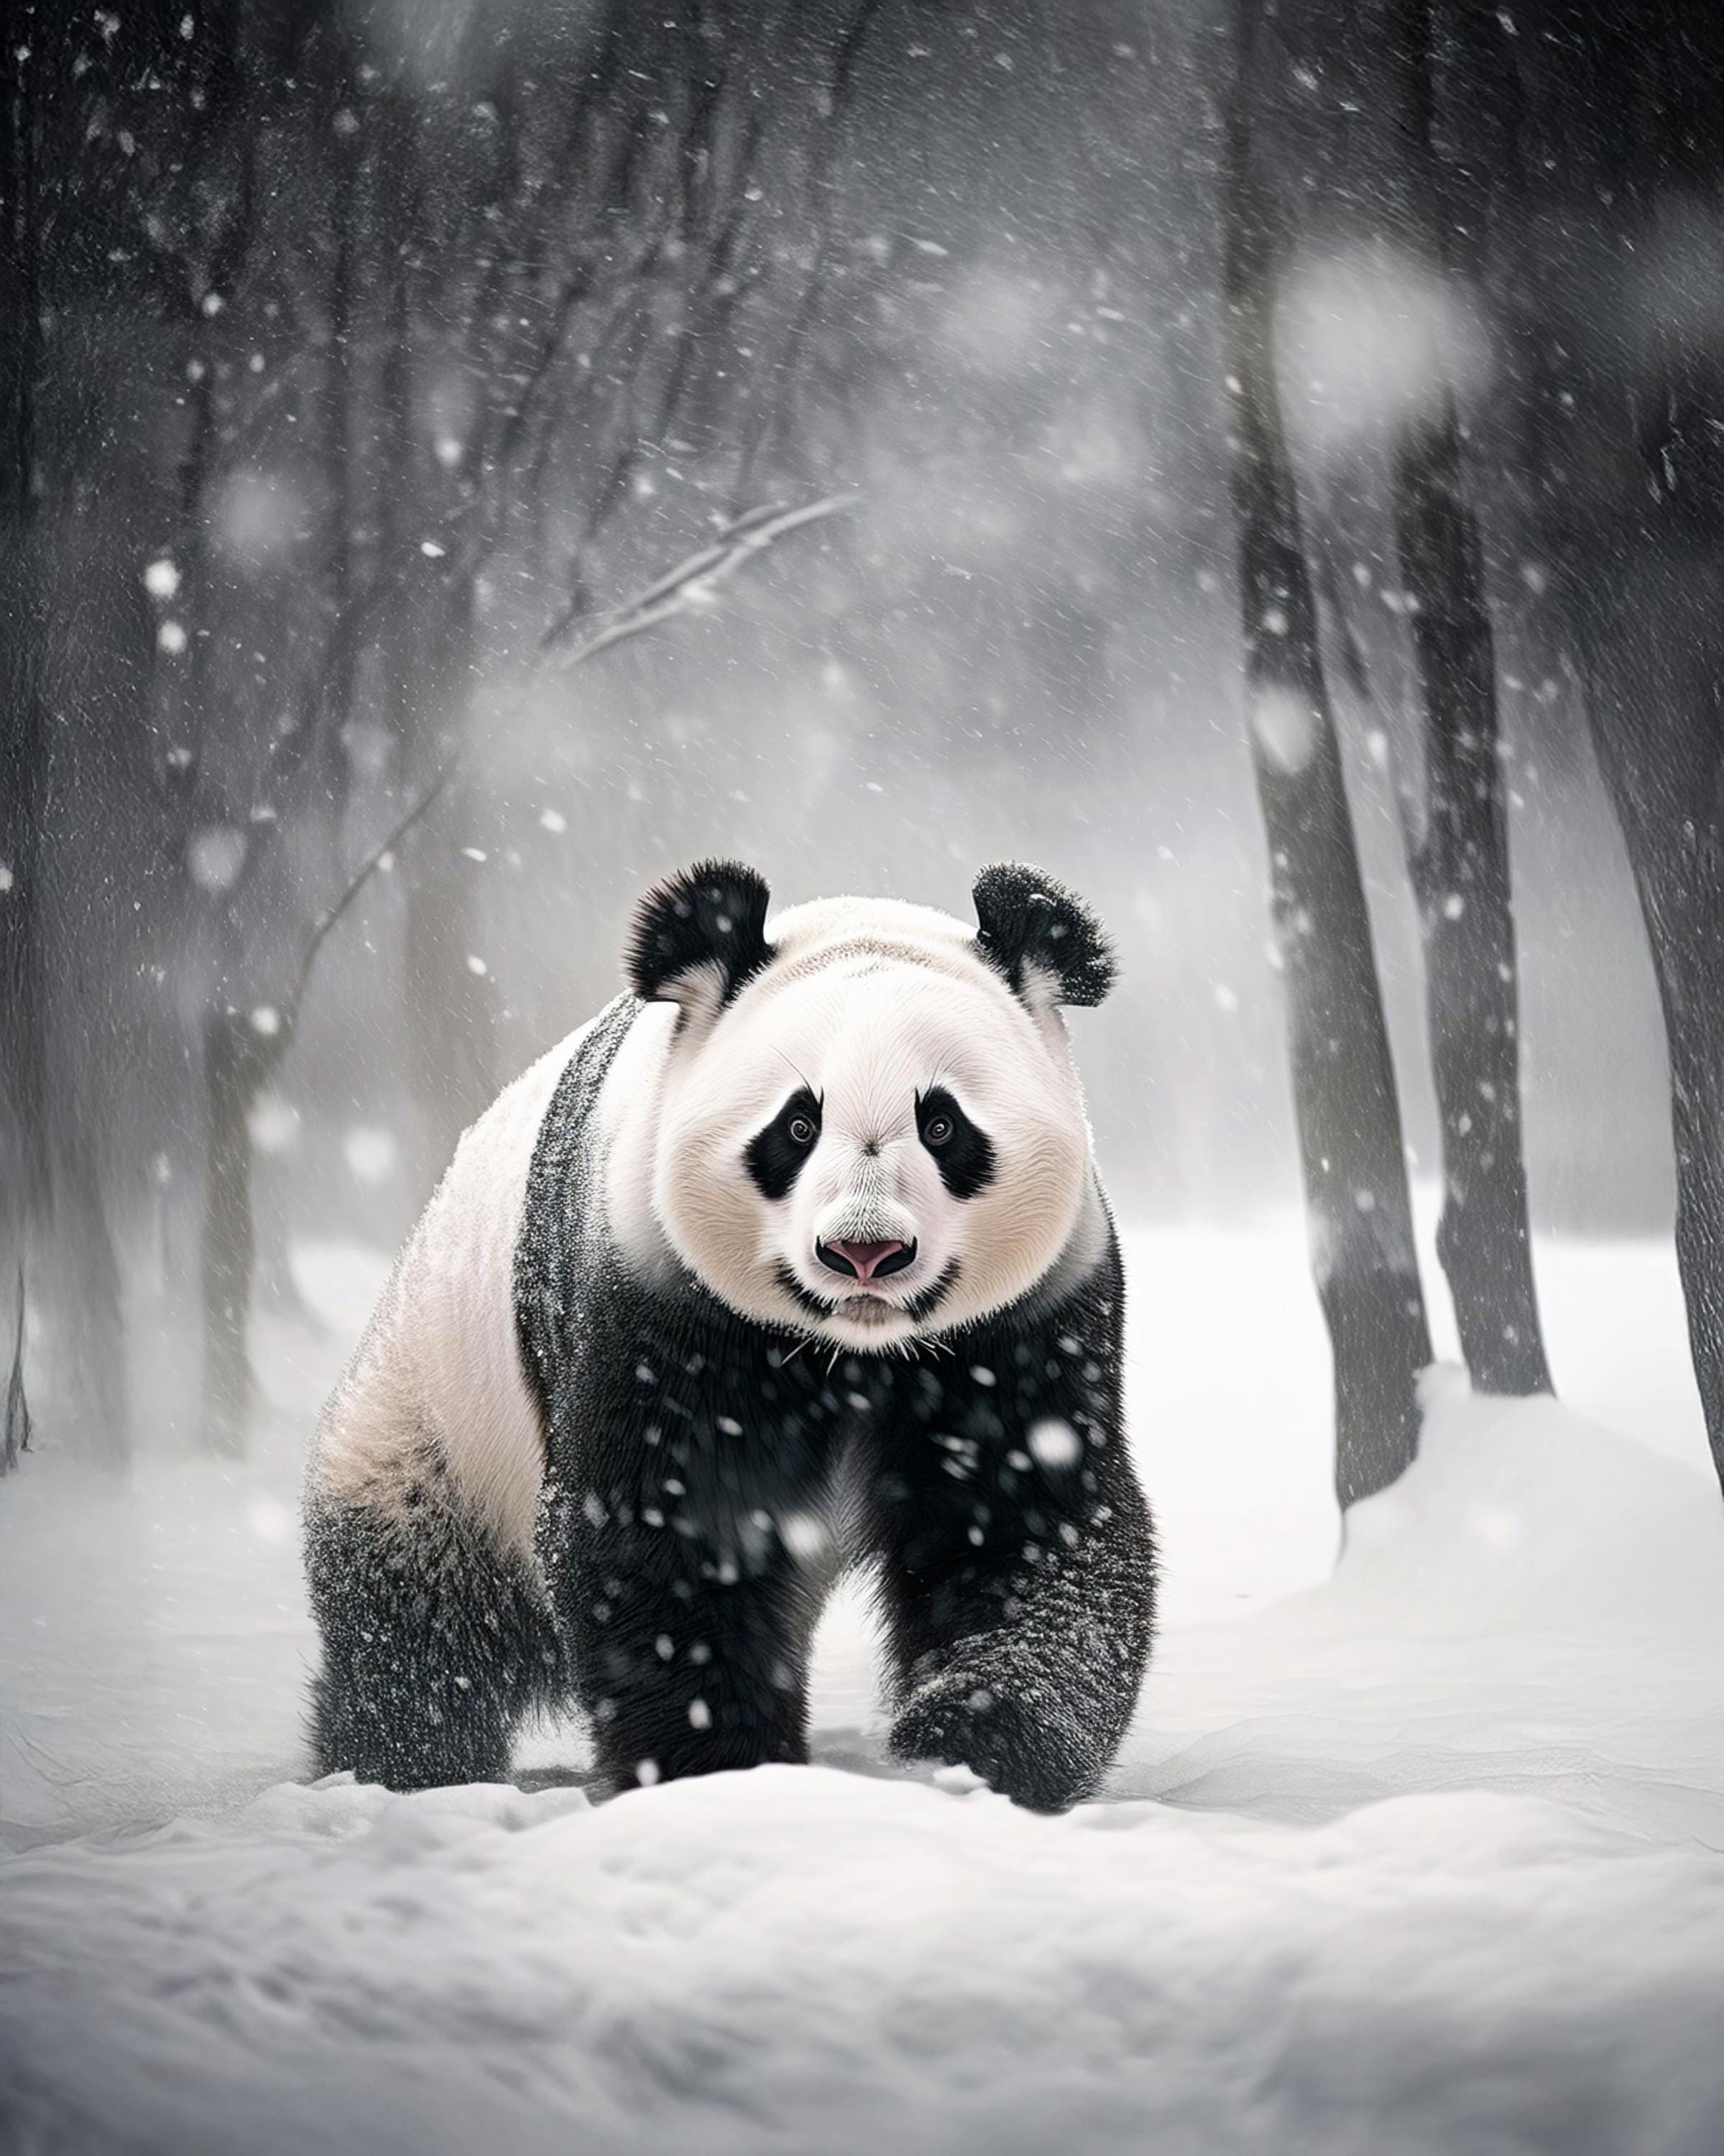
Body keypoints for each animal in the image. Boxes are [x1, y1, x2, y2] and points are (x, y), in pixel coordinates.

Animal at [304, 861, 1155, 1813]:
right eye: (796, 1126)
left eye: (941, 1125)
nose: (864, 1251)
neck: (854, 1352)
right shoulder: (663, 1302)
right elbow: (670, 1527)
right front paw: (719, 1770)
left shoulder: (1023, 1322)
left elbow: (1022, 1524)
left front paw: (973, 1747)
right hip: (434, 1422)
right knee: (417, 1622)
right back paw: (390, 1768)